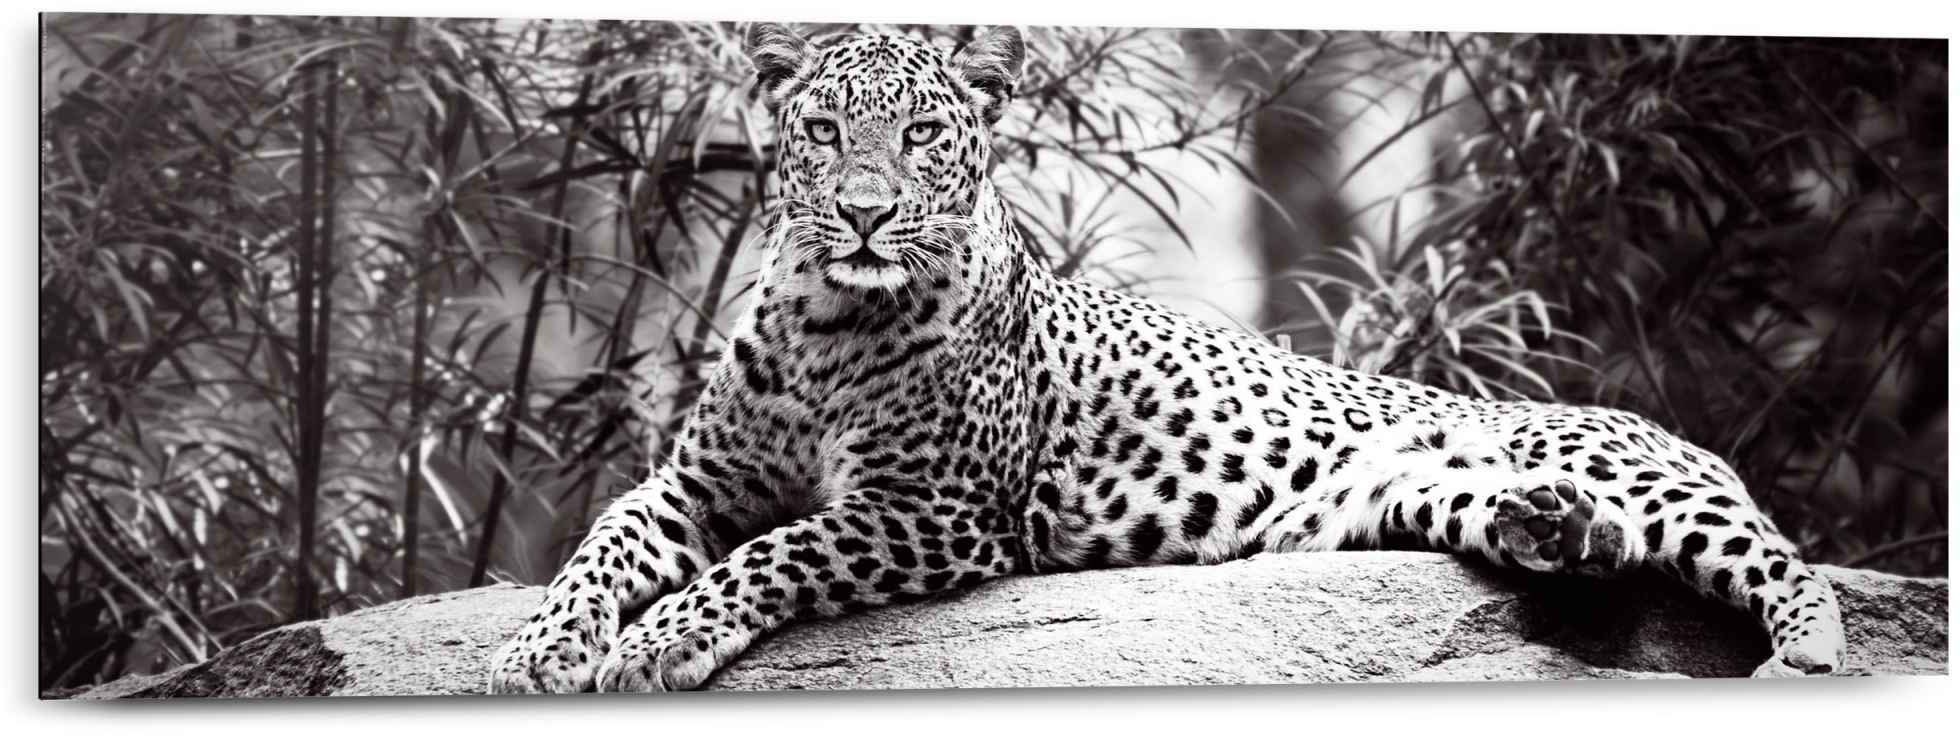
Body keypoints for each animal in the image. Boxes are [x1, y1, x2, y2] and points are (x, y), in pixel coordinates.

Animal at [487, 23, 1847, 693]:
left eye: (922, 134)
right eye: (821, 132)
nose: (864, 214)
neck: (829, 321)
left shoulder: (936, 513)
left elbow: (774, 554)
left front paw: (659, 639)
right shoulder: (696, 483)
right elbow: (606, 537)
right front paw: (538, 646)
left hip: (1642, 471)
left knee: (1786, 562)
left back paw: (1805, 655)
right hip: (1431, 498)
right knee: (1587, 540)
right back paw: (1557, 527)